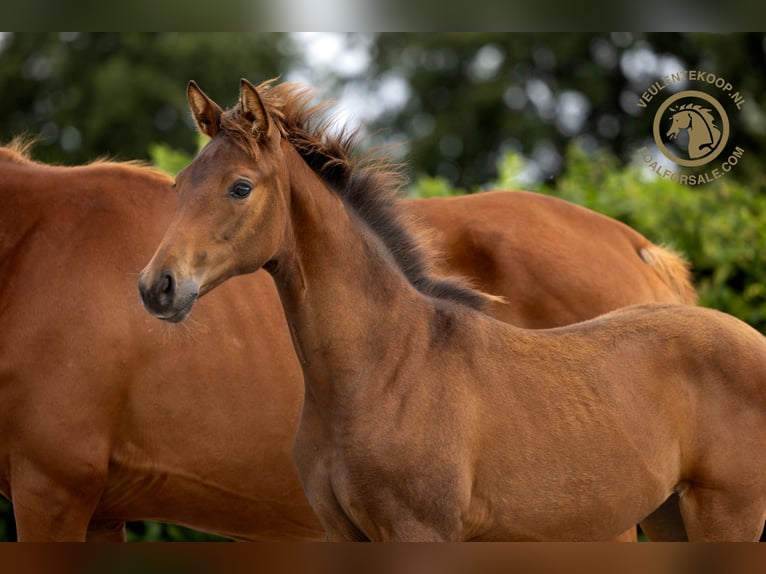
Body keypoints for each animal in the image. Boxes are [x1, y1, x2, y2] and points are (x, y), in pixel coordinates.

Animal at [0, 130, 692, 544]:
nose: (156, 288)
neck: (31, 248)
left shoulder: (52, 492)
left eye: (241, 188)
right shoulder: (98, 511)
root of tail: (638, 247)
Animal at [140, 79, 766, 544]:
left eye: (240, 187)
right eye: (180, 184)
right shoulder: (343, 535)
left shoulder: (420, 532)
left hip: (726, 515)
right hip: (666, 517)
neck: (384, 369)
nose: (157, 287)